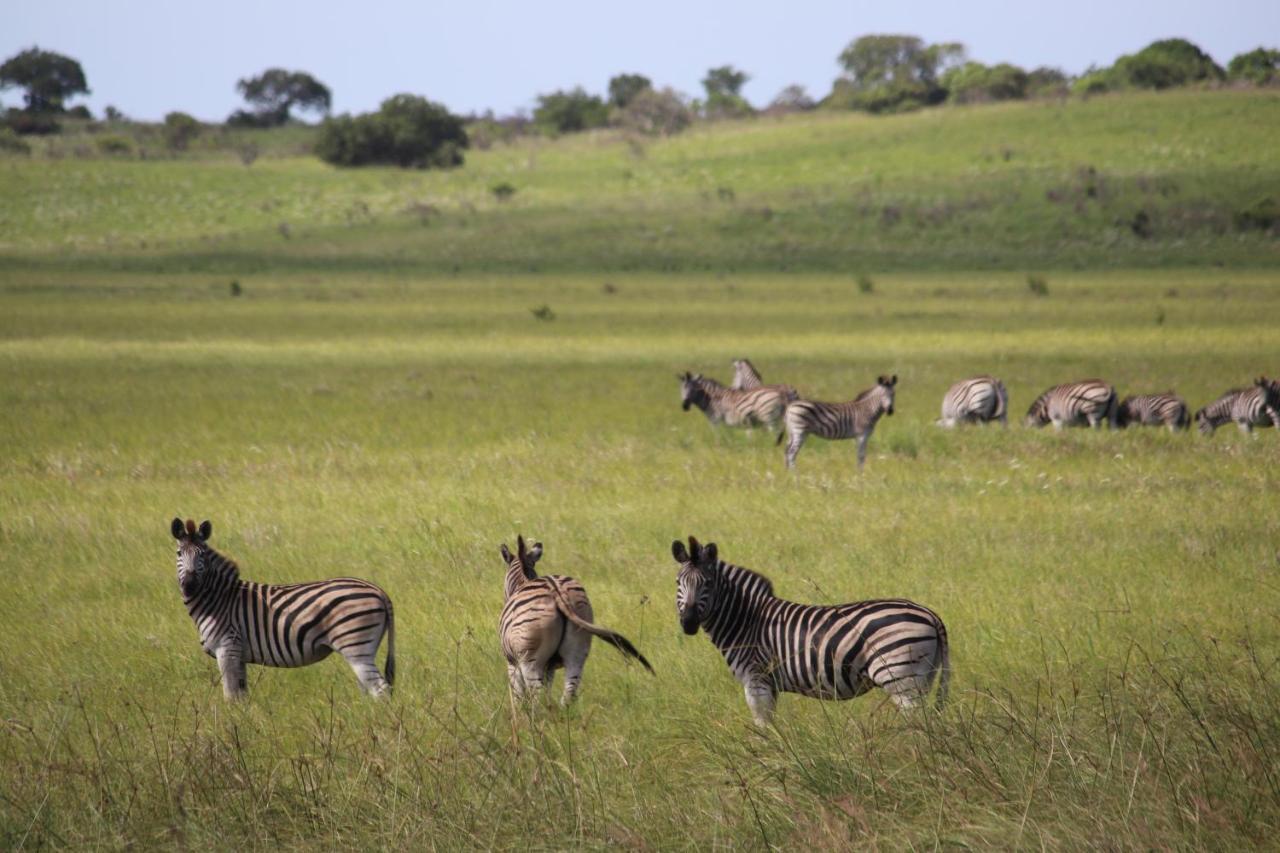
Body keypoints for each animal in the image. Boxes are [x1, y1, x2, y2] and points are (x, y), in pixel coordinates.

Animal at [170, 514, 391, 701]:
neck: (218, 599)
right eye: (179, 553)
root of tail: (379, 591)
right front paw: (243, 720)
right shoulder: (238, 654)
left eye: (203, 555)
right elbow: (242, 697)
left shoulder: (227, 648)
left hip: (356, 646)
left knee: (381, 689)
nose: (189, 585)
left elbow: (230, 696)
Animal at [499, 532, 655, 701]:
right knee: (568, 696)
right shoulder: (550, 667)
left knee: (539, 700)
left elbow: (517, 698)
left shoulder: (512, 664)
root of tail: (557, 592)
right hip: (578, 651)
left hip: (531, 661)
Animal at [675, 532, 947, 722]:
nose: (688, 623)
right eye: (678, 582)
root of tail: (930, 614)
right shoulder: (769, 684)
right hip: (924, 676)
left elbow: (762, 725)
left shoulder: (756, 679)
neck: (746, 620)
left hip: (900, 676)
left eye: (708, 583)